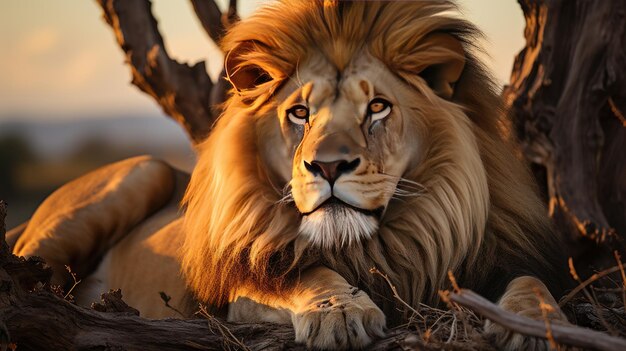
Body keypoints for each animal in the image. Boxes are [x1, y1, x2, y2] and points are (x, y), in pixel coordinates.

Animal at [9, 1, 568, 350]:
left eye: (378, 108)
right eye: (300, 113)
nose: (328, 166)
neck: (380, 244)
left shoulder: (489, 259)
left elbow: (531, 280)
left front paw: (537, 324)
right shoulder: (238, 293)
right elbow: (303, 272)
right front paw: (339, 312)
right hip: (136, 177)